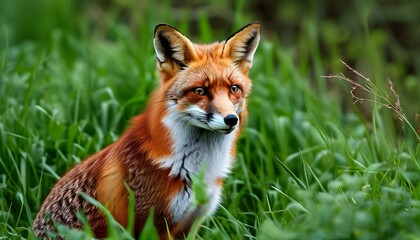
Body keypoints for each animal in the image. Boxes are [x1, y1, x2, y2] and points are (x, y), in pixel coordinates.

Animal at [32, 21, 260, 239]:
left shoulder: (192, 223)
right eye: (200, 91)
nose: (231, 120)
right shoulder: (154, 226)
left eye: (234, 89)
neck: (196, 169)